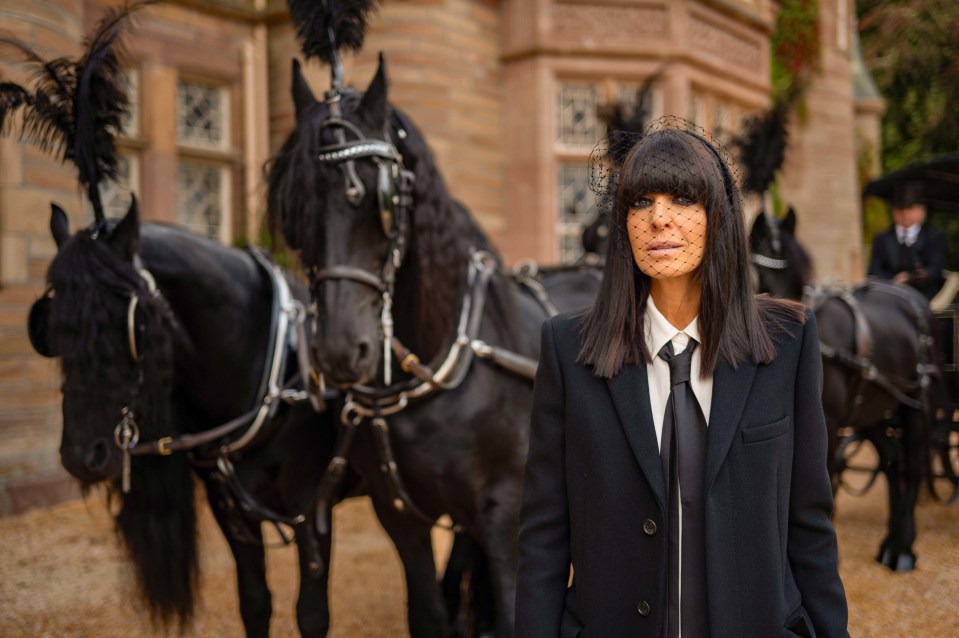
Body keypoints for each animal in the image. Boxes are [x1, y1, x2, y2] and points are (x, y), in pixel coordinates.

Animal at [29, 202, 344, 636]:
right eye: (52, 328)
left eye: (130, 325)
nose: (80, 455)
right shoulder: (230, 510)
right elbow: (255, 603)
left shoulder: (310, 511)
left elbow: (312, 616)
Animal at [266, 57, 604, 636]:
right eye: (295, 207)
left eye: (381, 199)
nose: (338, 351)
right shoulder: (401, 518)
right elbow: (429, 615)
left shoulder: (507, 515)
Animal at [752, 212, 932, 572]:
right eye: (758, 272)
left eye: (788, 267)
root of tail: (911, 296)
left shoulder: (828, 424)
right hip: (873, 410)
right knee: (892, 461)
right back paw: (890, 542)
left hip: (914, 403)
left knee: (914, 464)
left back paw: (902, 550)